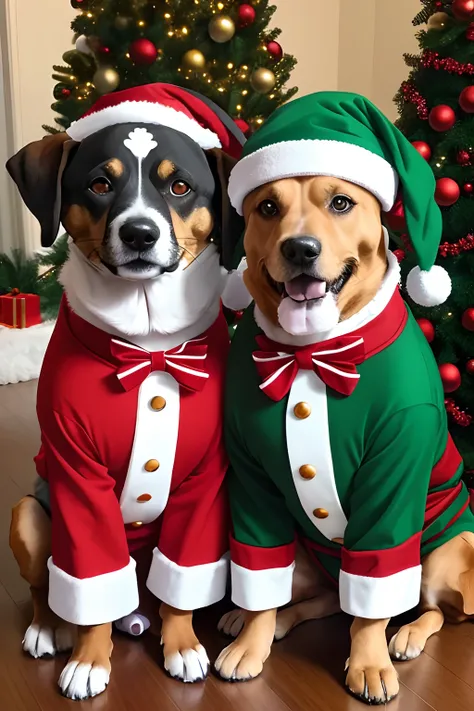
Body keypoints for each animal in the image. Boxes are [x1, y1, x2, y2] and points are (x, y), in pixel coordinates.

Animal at [6, 83, 244, 700]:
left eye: (179, 186)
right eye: (99, 183)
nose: (140, 233)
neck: (148, 345)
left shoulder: (206, 478)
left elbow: (183, 580)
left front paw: (182, 644)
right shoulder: (76, 474)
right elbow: (89, 577)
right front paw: (89, 661)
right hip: (28, 513)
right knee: (50, 588)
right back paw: (48, 628)